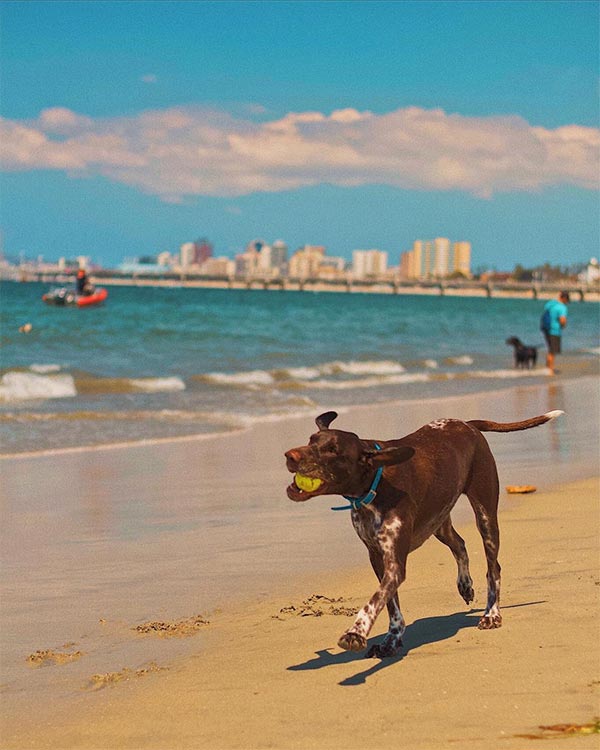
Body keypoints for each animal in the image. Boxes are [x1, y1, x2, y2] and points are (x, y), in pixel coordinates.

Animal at [286, 408, 564, 660]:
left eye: (333, 450)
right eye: (311, 439)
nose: (290, 455)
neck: (376, 482)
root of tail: (467, 424)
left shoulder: (395, 564)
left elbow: (374, 601)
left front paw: (356, 632)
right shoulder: (378, 558)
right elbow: (390, 604)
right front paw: (391, 639)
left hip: (485, 516)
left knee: (493, 568)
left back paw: (491, 614)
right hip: (438, 521)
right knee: (460, 544)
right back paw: (465, 585)